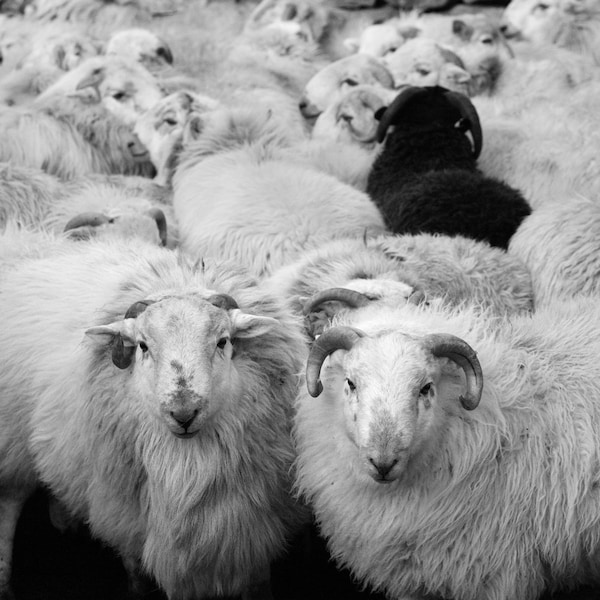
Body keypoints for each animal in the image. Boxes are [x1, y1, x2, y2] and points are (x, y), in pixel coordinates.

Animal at [0, 237, 308, 600]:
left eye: (223, 342)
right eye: (143, 346)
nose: (184, 413)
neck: (186, 468)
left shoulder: (252, 533)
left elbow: (258, 582)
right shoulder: (129, 523)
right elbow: (137, 574)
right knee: (9, 507)